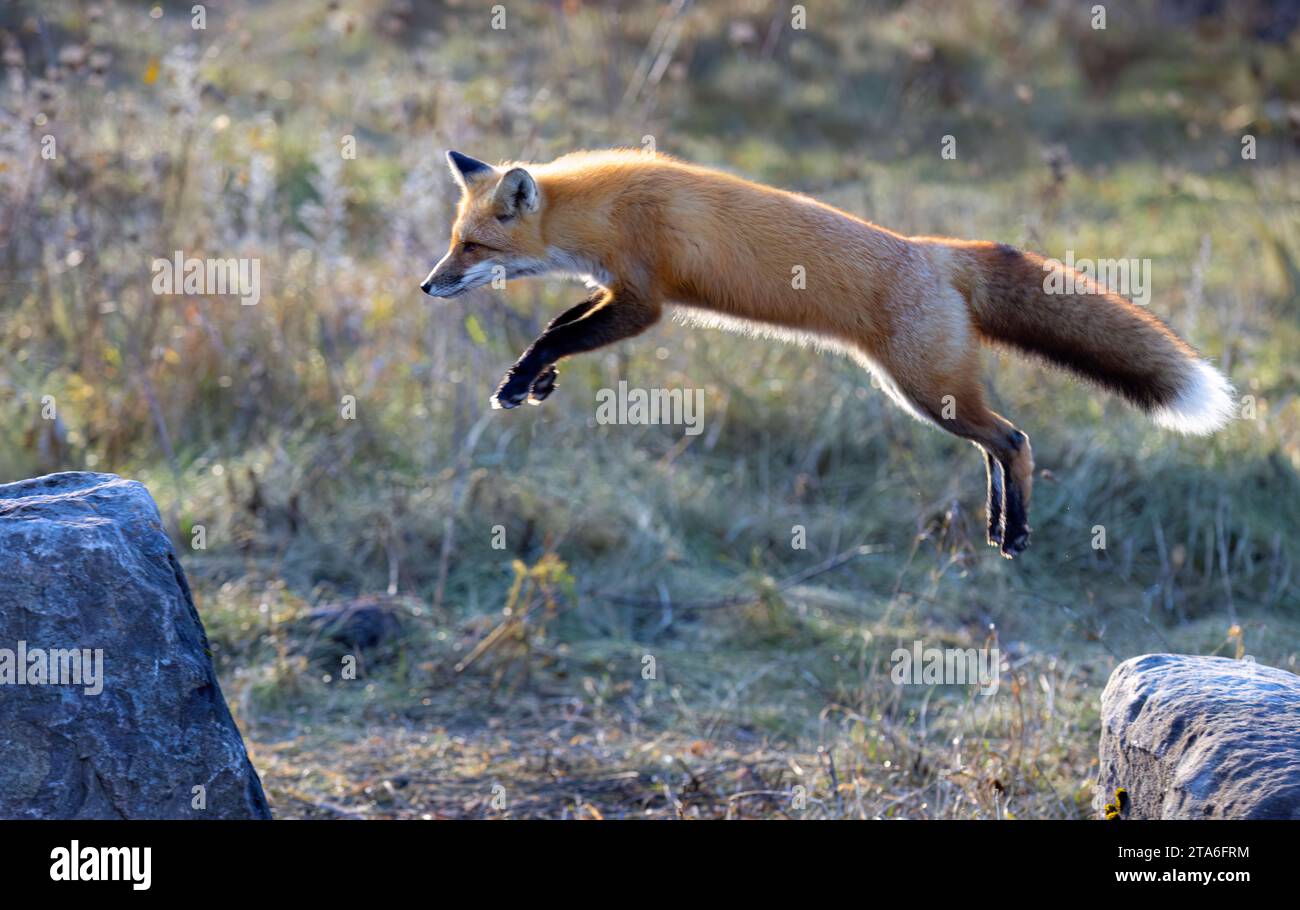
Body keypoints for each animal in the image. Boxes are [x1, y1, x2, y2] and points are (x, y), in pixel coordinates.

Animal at [421, 148, 1232, 559]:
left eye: (472, 246)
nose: (427, 284)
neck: (605, 210)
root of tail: (935, 251)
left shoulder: (644, 301)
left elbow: (558, 329)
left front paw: (523, 378)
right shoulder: (615, 290)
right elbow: (560, 320)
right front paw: (535, 381)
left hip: (925, 391)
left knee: (1015, 439)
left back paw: (1017, 529)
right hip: (929, 396)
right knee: (998, 443)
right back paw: (999, 522)